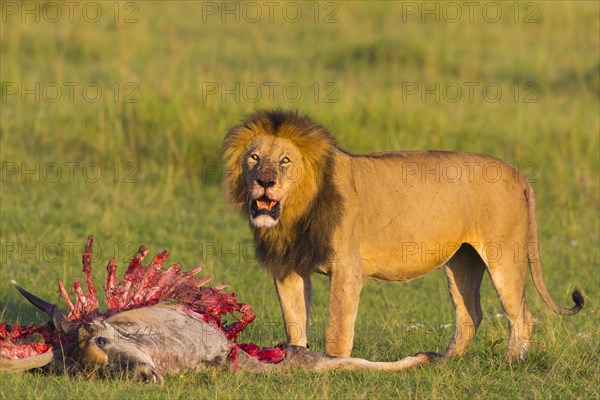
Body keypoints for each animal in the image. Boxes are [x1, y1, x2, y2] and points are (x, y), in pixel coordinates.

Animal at [223, 109, 584, 362]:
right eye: (254, 157)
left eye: (284, 161)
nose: (265, 181)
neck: (295, 214)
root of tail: (517, 173)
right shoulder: (288, 268)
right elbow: (294, 318)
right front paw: (296, 360)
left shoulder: (346, 269)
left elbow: (336, 325)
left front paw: (334, 363)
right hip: (462, 260)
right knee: (470, 313)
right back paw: (444, 361)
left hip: (503, 256)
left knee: (521, 314)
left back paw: (510, 362)